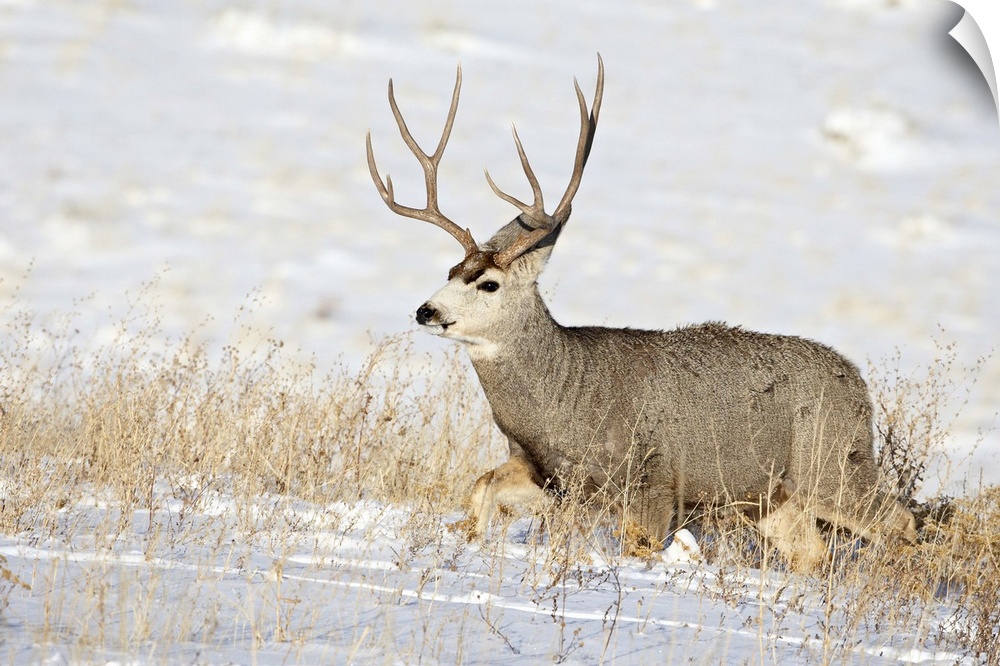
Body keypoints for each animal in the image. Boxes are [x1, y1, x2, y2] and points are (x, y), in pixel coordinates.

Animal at [365, 56, 917, 572]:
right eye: (451, 269)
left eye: (488, 283)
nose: (426, 310)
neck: (564, 402)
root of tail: (858, 384)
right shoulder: (546, 473)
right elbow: (482, 487)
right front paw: (465, 541)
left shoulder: (653, 481)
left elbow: (639, 545)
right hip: (775, 499)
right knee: (814, 553)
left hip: (832, 465)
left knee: (899, 519)